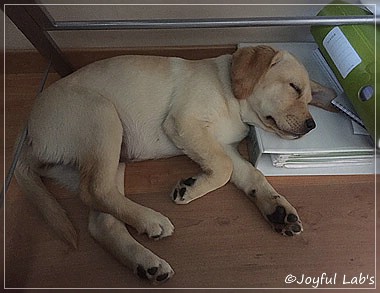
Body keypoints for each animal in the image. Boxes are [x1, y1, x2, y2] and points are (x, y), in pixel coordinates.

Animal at [14, 45, 336, 282]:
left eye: (309, 98)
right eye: (294, 88)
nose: (312, 125)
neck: (231, 96)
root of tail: (31, 139)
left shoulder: (223, 146)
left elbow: (251, 175)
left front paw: (278, 210)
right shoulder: (185, 123)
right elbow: (223, 169)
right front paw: (190, 189)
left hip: (112, 155)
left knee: (101, 217)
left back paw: (146, 262)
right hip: (103, 117)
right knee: (95, 191)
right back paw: (151, 220)